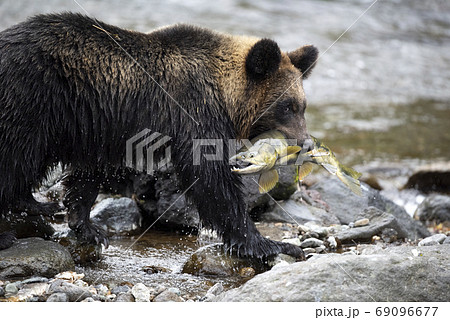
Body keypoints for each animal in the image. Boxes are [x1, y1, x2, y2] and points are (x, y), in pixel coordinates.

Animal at [0, 12, 318, 258]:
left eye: (302, 106)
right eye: (287, 106)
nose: (306, 142)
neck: (223, 95)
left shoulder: (107, 126)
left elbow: (88, 174)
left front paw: (88, 227)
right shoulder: (193, 113)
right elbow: (212, 180)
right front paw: (268, 243)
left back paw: (37, 204)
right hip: (30, 101)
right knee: (17, 157)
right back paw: (13, 226)